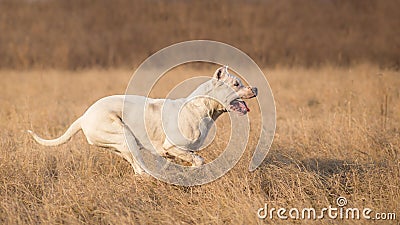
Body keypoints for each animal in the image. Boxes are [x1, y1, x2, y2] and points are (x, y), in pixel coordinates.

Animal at [29, 66, 258, 175]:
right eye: (236, 84)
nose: (255, 87)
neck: (200, 106)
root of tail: (84, 116)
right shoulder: (171, 146)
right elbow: (199, 160)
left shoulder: (174, 152)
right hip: (123, 136)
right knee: (139, 170)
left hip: (121, 146)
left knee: (136, 167)